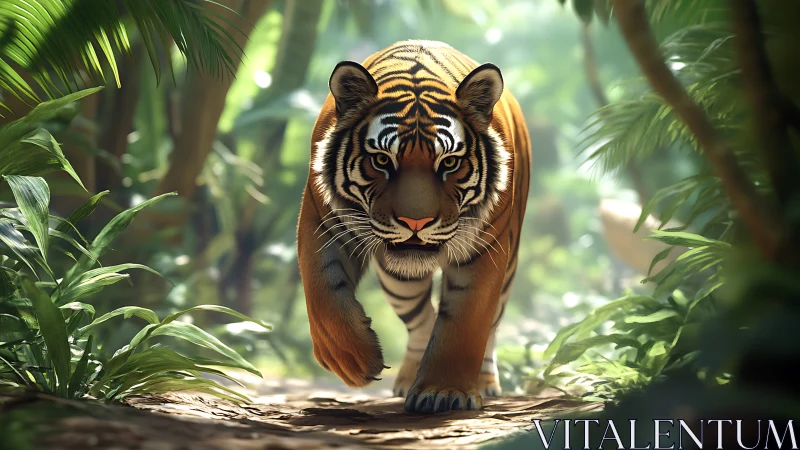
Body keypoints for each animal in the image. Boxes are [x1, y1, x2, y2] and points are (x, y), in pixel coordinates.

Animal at [297, 40, 531, 413]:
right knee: (421, 321)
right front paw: (352, 360)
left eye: (449, 163)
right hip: (399, 281)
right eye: (382, 160)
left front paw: (445, 392)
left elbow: (467, 321)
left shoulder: (484, 250)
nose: (415, 222)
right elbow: (323, 295)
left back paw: (485, 382)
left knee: (490, 325)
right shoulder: (323, 224)